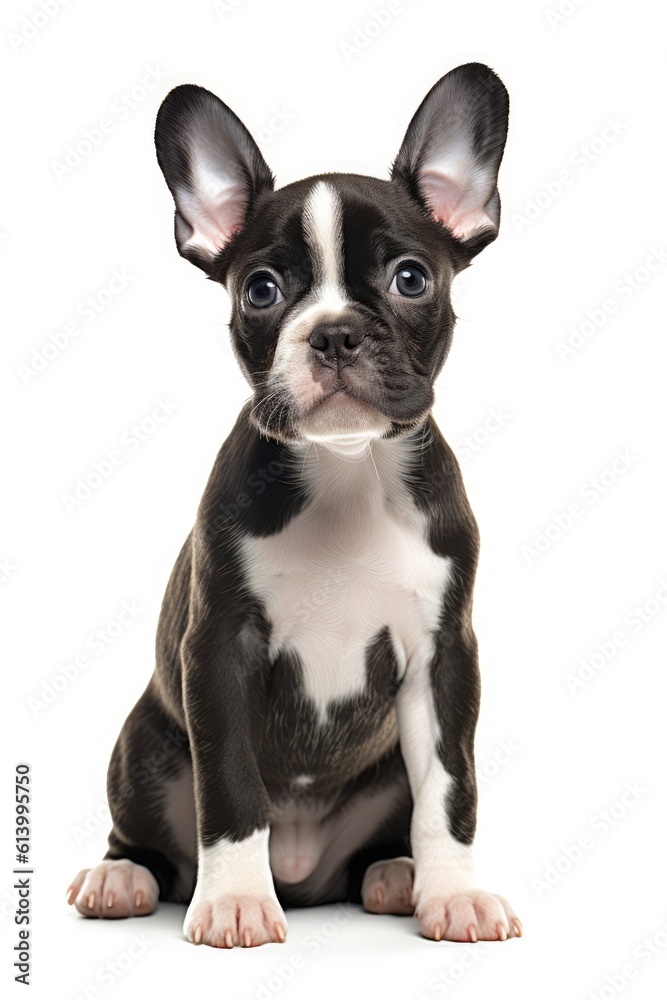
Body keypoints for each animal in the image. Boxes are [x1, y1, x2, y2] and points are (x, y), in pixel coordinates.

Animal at [66, 60, 520, 944]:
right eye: (261, 290)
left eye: (410, 279)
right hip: (145, 745)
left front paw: (454, 893)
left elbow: (451, 790)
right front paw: (235, 900)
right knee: (149, 837)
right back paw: (122, 877)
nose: (334, 332)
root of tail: (307, 876)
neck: (346, 470)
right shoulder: (219, 650)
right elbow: (230, 788)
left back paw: (394, 875)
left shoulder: (443, 658)